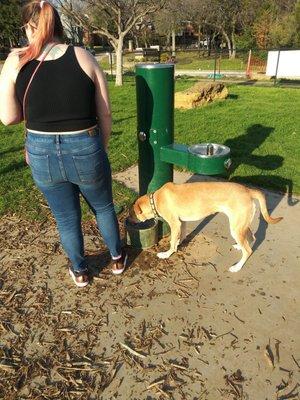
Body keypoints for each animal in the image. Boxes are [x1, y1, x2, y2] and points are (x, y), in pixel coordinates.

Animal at [130, 182, 282, 272]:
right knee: (251, 238)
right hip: (240, 225)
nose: (128, 219)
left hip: (236, 227)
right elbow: (181, 235)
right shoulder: (181, 222)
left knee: (248, 250)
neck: (155, 199)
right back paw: (239, 247)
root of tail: (248, 190)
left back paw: (237, 267)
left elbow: (172, 242)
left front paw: (167, 254)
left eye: (132, 213)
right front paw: (179, 243)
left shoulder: (175, 223)